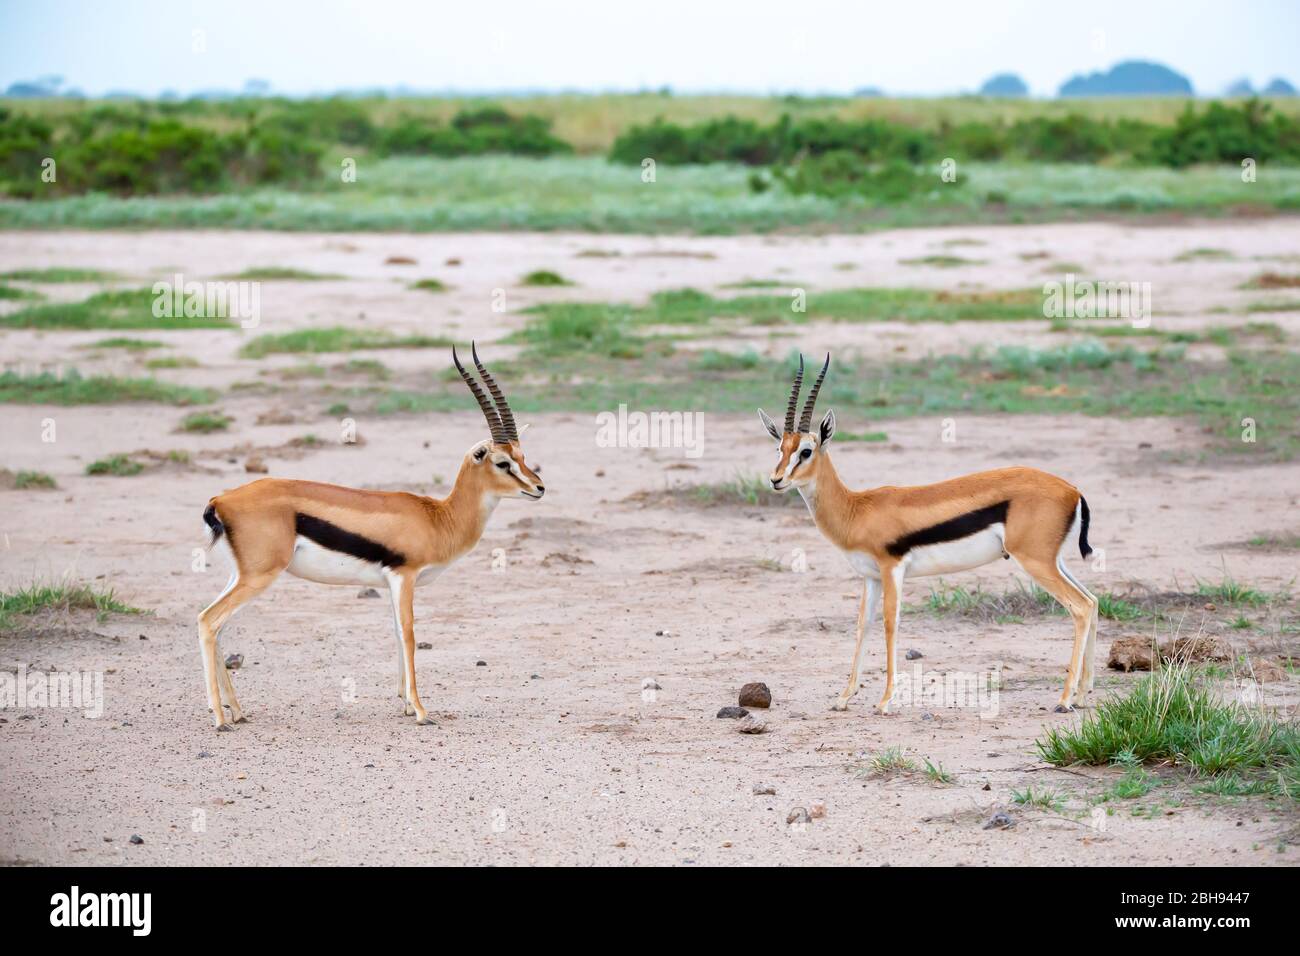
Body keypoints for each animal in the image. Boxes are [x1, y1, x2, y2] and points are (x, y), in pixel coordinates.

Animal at [196, 344, 544, 731]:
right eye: (502, 463)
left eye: (522, 456)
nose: (539, 488)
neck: (439, 517)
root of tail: (221, 500)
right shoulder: (404, 576)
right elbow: (408, 633)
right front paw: (421, 711)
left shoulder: (391, 582)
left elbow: (396, 632)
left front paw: (405, 704)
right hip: (260, 576)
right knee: (209, 621)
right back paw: (220, 719)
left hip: (241, 575)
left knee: (218, 624)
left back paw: (237, 711)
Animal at [758, 354, 1098, 715]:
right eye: (780, 447)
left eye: (806, 451)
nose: (776, 480)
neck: (856, 509)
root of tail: (1072, 490)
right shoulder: (871, 577)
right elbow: (863, 625)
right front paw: (843, 697)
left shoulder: (892, 568)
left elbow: (890, 623)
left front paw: (885, 701)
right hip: (1053, 561)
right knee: (1093, 601)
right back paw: (1081, 694)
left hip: (1034, 561)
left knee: (1080, 607)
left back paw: (1064, 699)